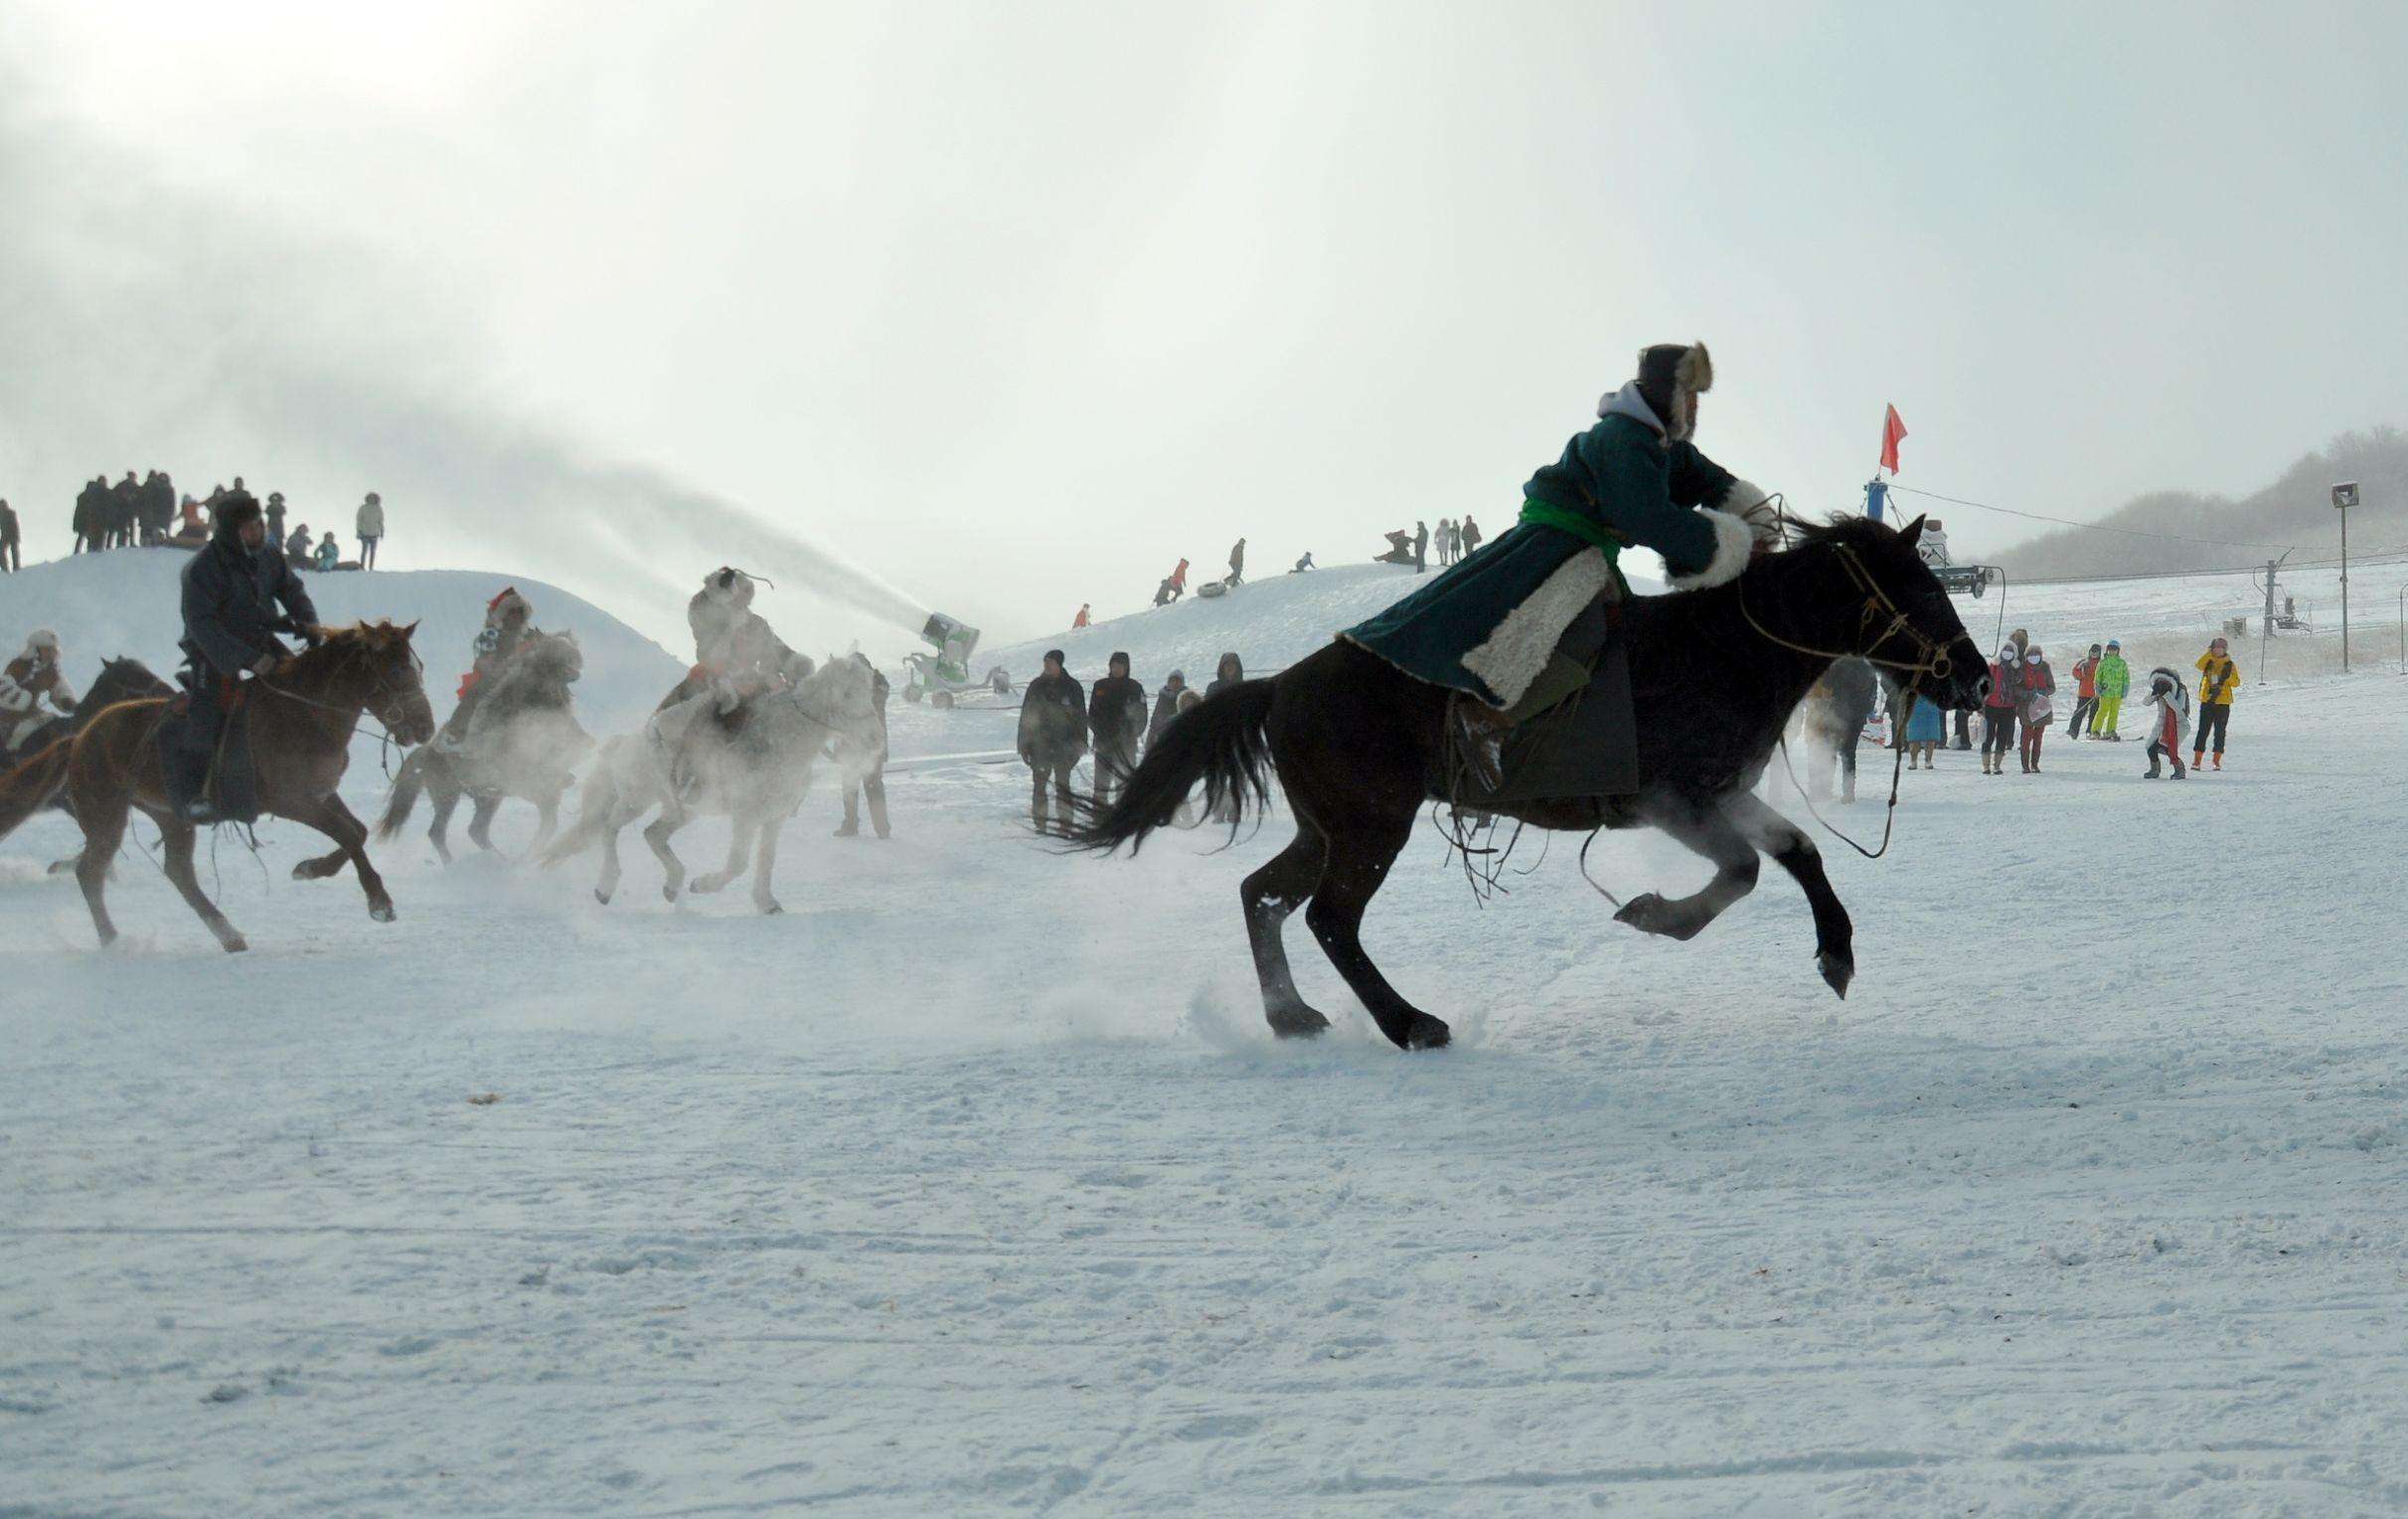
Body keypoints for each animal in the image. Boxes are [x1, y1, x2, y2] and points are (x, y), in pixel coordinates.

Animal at [0, 615, 435, 952]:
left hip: (170, 816)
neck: (302, 713)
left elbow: (356, 832)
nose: (425, 727)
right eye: (397, 670)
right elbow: (346, 833)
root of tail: (81, 736)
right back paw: (113, 940)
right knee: (91, 872)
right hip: (106, 814)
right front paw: (378, 901)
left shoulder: (321, 793)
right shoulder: (293, 801)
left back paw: (227, 934)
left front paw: (310, 868)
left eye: (418, 666)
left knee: (178, 872)